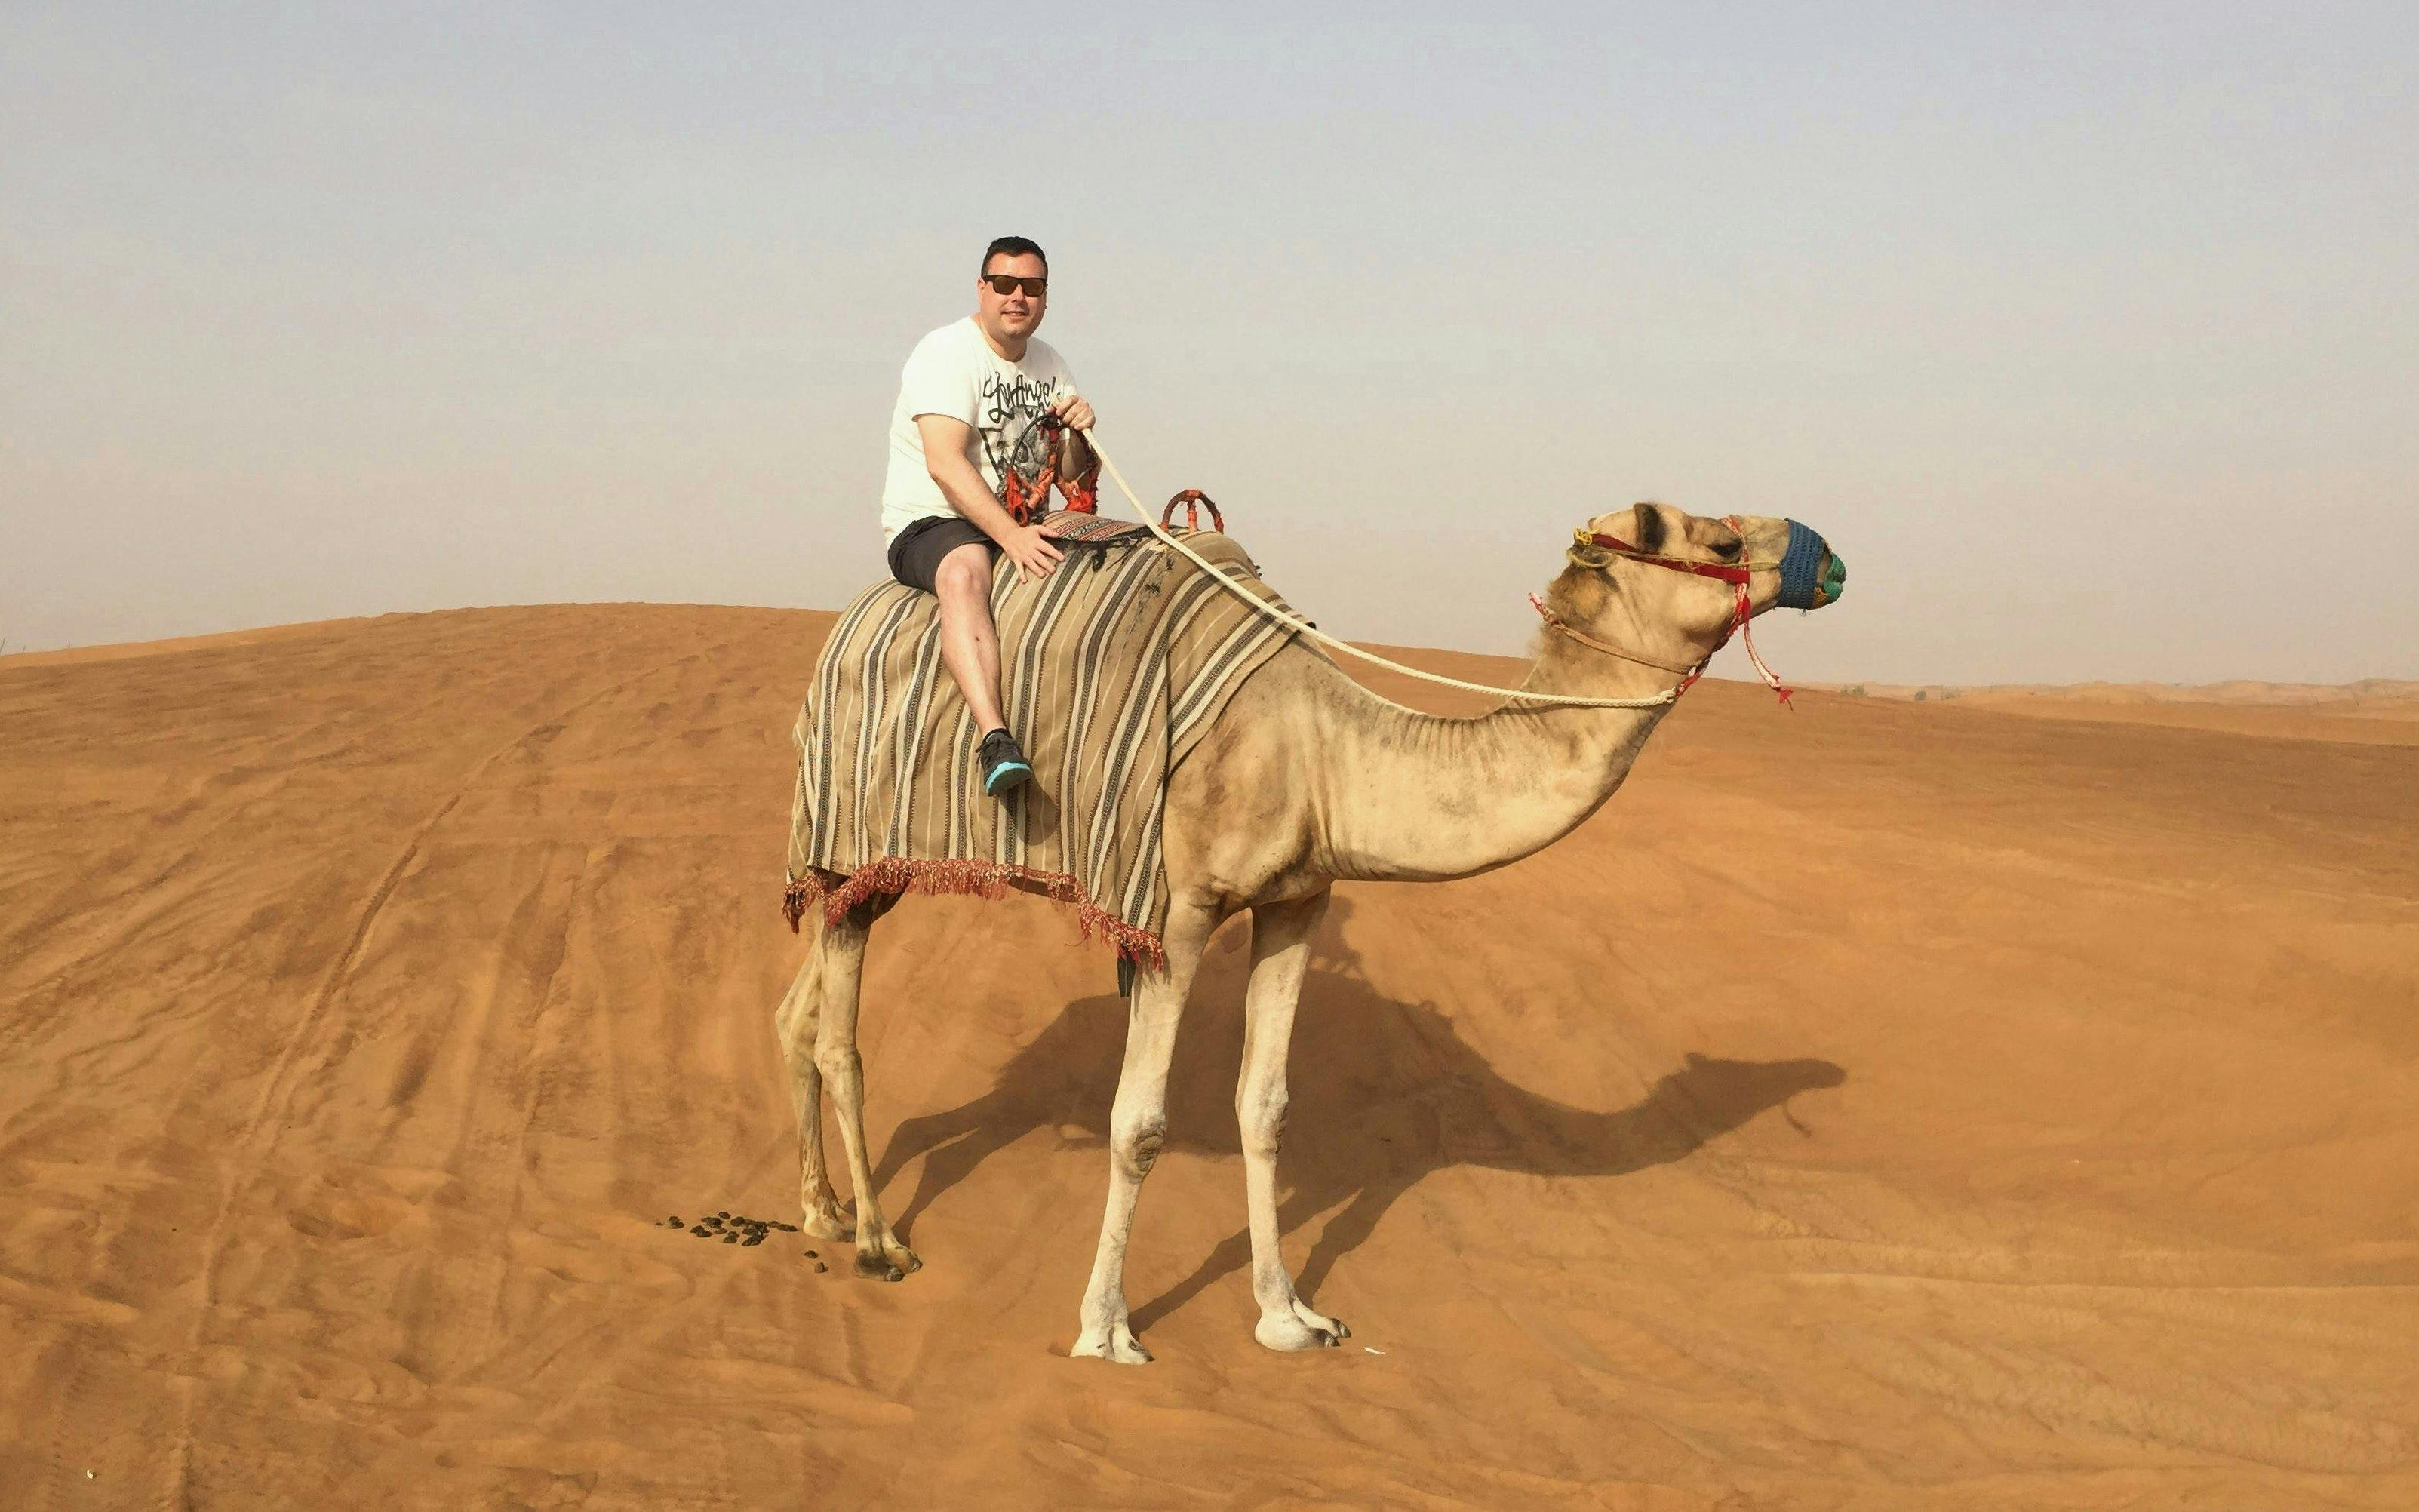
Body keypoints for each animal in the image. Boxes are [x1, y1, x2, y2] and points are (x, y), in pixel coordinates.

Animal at [770, 501, 1845, 1363]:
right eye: (1718, 540)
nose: (1826, 555)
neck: (1322, 751)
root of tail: (844, 628)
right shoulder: (1176, 913)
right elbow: (1139, 1124)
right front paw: (1107, 1330)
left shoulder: (1297, 901)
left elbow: (1266, 1106)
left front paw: (1289, 1318)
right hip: (851, 834)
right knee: (839, 1034)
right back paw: (877, 1243)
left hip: (858, 870)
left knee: (799, 1013)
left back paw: (819, 1209)